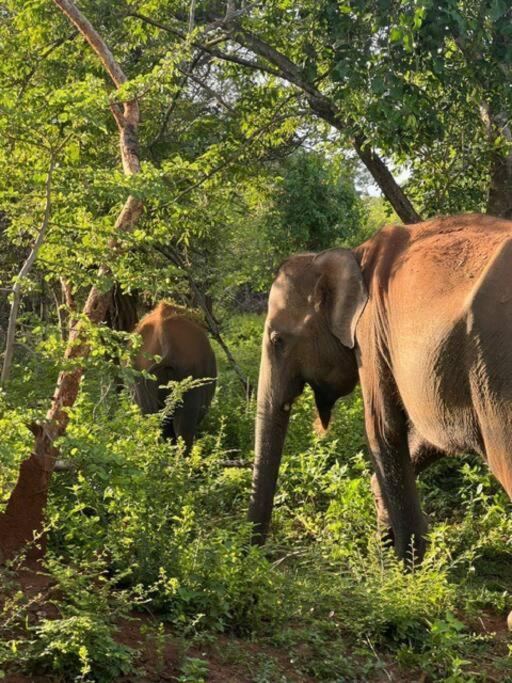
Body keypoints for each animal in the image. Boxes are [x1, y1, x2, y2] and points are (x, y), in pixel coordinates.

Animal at [250, 215, 512, 572]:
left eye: (277, 340)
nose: (256, 555)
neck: (350, 254)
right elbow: (433, 434)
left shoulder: (371, 330)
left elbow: (382, 428)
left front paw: (404, 570)